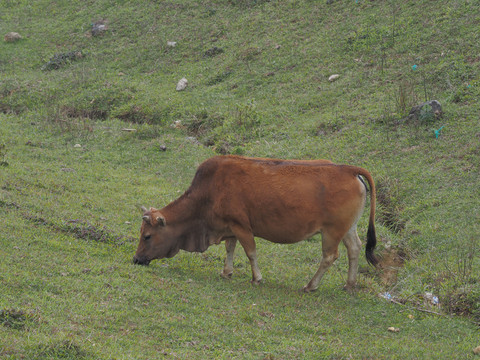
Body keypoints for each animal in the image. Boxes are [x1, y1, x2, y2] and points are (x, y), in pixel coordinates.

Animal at [133, 156, 376, 292]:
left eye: (147, 236)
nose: (136, 259)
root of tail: (348, 169)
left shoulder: (241, 226)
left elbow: (250, 252)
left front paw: (256, 278)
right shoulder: (229, 227)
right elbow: (229, 248)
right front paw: (226, 272)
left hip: (331, 232)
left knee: (329, 256)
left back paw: (311, 285)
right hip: (347, 228)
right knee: (354, 249)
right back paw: (349, 284)